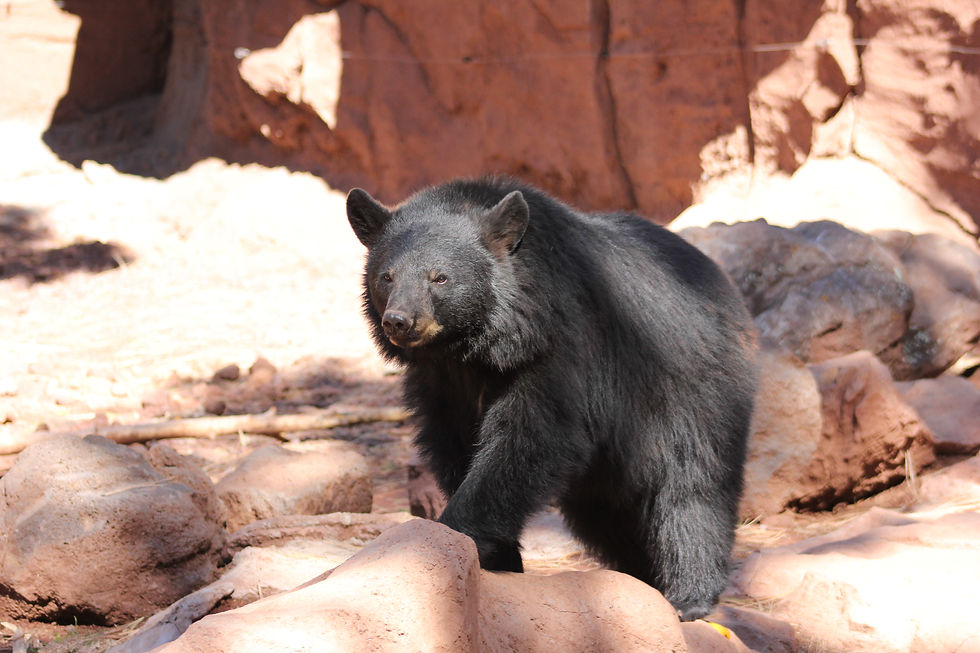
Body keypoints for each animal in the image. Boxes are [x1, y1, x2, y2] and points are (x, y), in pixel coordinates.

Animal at [345, 177, 757, 621]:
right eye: (386, 277)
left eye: (440, 278)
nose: (399, 321)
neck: (476, 347)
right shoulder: (442, 386)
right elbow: (454, 447)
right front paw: (498, 559)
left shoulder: (563, 346)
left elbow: (532, 438)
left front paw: (452, 534)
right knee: (607, 514)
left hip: (689, 389)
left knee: (694, 488)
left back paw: (688, 596)